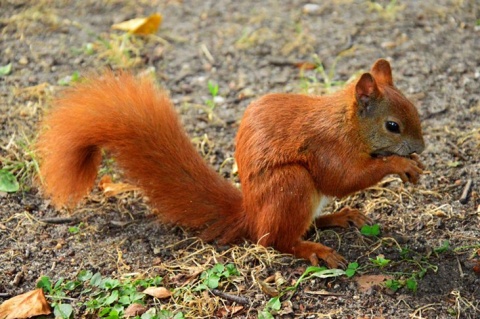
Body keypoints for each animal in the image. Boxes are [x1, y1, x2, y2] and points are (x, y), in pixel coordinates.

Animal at [38, 59, 428, 268]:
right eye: (392, 126)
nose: (421, 147)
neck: (347, 123)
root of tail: (250, 213)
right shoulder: (325, 147)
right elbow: (342, 178)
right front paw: (400, 165)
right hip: (291, 185)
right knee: (273, 240)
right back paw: (312, 249)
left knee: (298, 227)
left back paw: (338, 217)